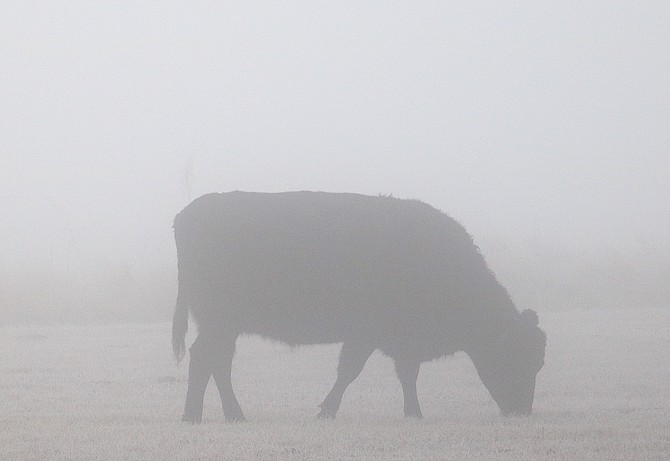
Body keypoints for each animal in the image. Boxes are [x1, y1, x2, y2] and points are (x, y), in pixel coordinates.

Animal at [172, 190, 544, 420]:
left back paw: (226, 415)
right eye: (519, 357)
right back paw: (199, 416)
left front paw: (412, 412)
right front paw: (328, 410)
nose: (522, 410)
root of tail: (186, 215)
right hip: (220, 324)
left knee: (216, 363)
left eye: (538, 361)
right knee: (206, 359)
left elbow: (402, 374)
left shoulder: (394, 341)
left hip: (225, 328)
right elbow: (352, 372)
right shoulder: (368, 336)